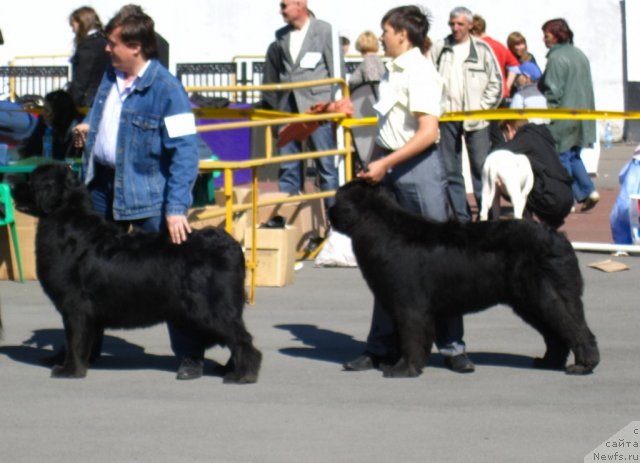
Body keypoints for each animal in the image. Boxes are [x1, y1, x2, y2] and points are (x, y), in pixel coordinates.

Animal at [11, 163, 260, 384]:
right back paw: (229, 369)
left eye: (31, 181)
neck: (67, 220)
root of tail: (232, 244)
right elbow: (79, 339)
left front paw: (69, 370)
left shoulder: (75, 306)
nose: (12, 185)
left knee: (243, 340)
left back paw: (241, 375)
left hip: (211, 308)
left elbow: (74, 340)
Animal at [330, 179, 600, 378]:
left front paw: (403, 369)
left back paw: (582, 366)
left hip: (546, 295)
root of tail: (560, 238)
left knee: (573, 327)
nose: (329, 211)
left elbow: (411, 336)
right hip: (529, 302)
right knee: (556, 333)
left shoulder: (410, 305)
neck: (380, 226)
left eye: (338, 199)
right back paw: (548, 361)